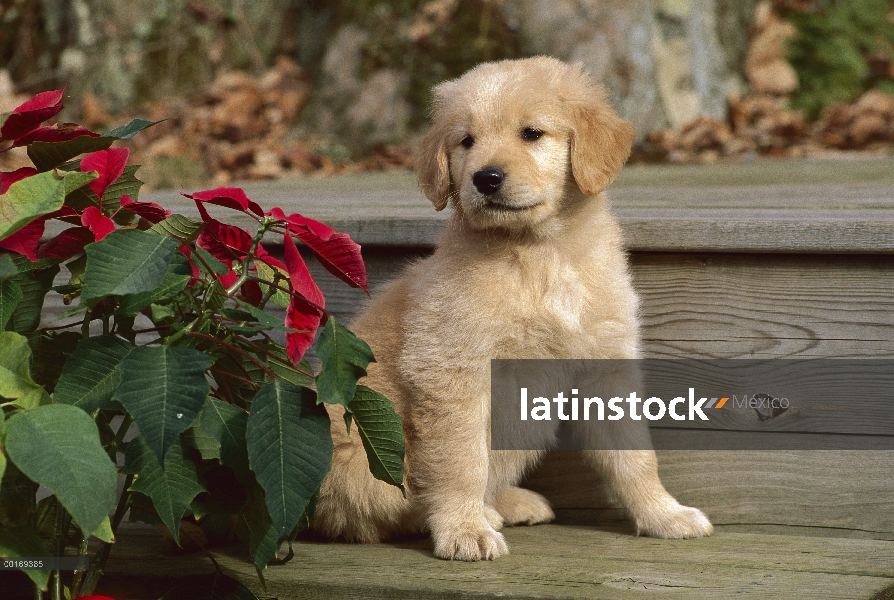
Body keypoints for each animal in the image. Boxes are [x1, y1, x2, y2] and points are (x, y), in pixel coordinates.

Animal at [312, 57, 716, 564]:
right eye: (466, 141)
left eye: (531, 133)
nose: (485, 178)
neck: (540, 256)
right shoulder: (453, 370)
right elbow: (461, 460)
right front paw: (464, 529)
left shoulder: (607, 365)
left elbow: (635, 457)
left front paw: (664, 514)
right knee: (373, 511)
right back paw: (479, 513)